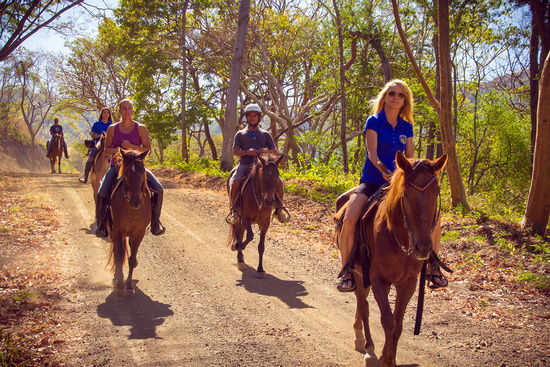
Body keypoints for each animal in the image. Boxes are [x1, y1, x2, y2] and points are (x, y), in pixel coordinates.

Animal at [107, 148, 152, 298]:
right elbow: (120, 256)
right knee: (117, 252)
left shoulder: (139, 232)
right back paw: (117, 278)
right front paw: (121, 286)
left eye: (142, 170)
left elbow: (131, 259)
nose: (135, 200)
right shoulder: (117, 231)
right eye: (125, 173)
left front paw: (128, 284)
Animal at [336, 151, 448, 366]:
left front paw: (391, 358)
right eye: (406, 194)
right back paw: (368, 349)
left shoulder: (408, 283)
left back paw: (359, 335)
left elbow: (398, 323)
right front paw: (384, 359)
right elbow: (388, 321)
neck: (400, 240)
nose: (423, 247)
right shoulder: (379, 279)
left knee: (363, 304)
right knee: (363, 305)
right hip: (358, 272)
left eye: (436, 192)